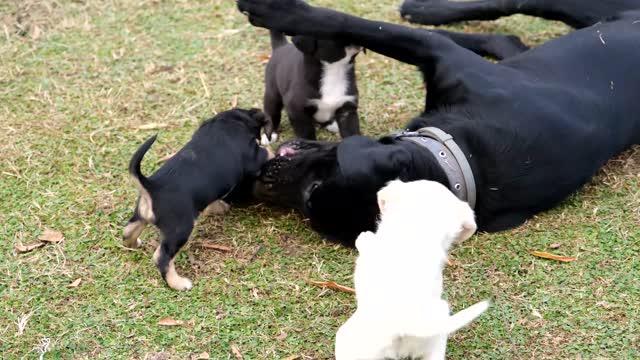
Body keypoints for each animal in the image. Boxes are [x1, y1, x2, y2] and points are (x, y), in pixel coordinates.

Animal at [122, 108, 270, 292]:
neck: (228, 121)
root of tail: (151, 186)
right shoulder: (254, 156)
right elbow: (267, 151)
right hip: (180, 230)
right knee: (162, 258)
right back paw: (179, 283)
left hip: (140, 216)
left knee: (127, 231)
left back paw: (133, 244)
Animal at [239, 0, 640, 248]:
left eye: (311, 195)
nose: (261, 179)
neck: (459, 156)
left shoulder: (438, 55)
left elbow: (358, 24)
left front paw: (276, 9)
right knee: (508, 32)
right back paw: (423, 10)